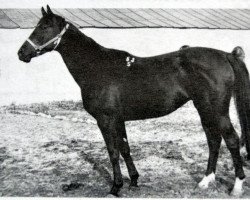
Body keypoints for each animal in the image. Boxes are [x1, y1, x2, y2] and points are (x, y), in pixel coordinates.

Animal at [17, 5, 250, 197]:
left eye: (44, 26)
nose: (22, 53)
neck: (97, 67)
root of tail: (226, 55)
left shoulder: (105, 120)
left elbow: (112, 152)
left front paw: (115, 187)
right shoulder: (118, 119)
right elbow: (125, 148)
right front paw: (134, 180)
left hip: (217, 111)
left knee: (231, 139)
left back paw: (237, 186)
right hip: (204, 108)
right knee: (213, 140)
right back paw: (205, 181)